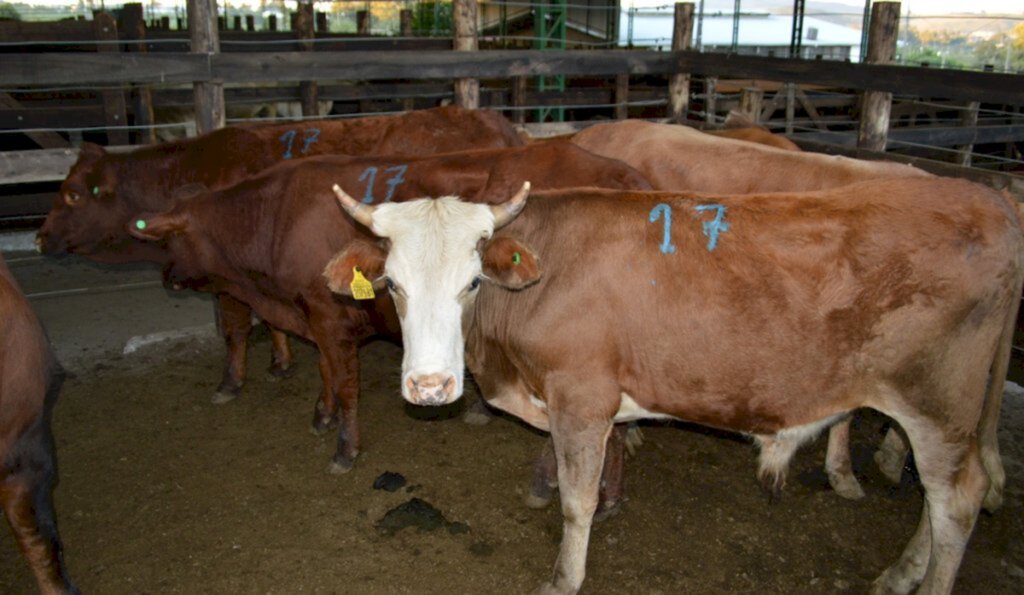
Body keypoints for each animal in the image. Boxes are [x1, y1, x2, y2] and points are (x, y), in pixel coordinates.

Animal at [36, 104, 524, 405]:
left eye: (73, 194)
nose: (40, 238)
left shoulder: (229, 279)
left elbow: (235, 329)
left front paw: (231, 382)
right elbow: (272, 323)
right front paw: (281, 361)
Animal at [119, 141, 647, 471]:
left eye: (169, 240)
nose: (167, 276)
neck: (277, 217)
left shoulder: (329, 318)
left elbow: (346, 383)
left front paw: (344, 448)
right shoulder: (317, 315)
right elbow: (327, 373)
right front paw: (322, 413)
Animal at [327, 176, 1024, 593]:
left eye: (472, 282)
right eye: (392, 284)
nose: (431, 387)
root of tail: (986, 196)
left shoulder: (580, 395)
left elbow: (576, 501)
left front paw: (564, 576)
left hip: (937, 402)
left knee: (956, 499)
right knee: (940, 499)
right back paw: (900, 574)